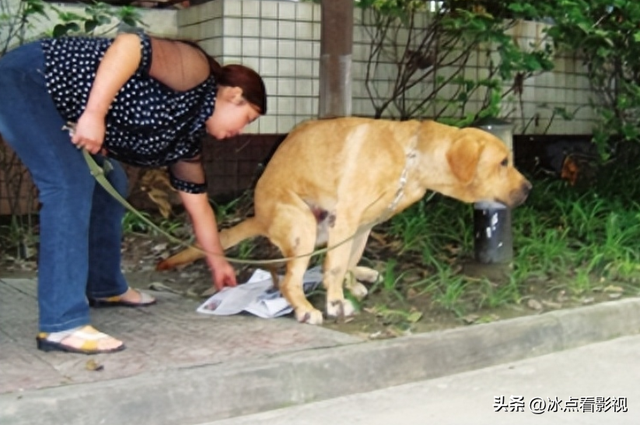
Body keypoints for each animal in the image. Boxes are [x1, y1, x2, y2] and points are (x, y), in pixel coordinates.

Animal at [158, 117, 532, 322]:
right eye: (503, 162)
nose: (529, 189)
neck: (412, 159)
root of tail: (260, 217)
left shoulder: (363, 225)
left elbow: (347, 261)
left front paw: (350, 285)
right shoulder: (349, 216)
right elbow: (336, 266)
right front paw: (336, 302)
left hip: (326, 227)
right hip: (305, 224)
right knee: (290, 280)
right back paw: (305, 309)